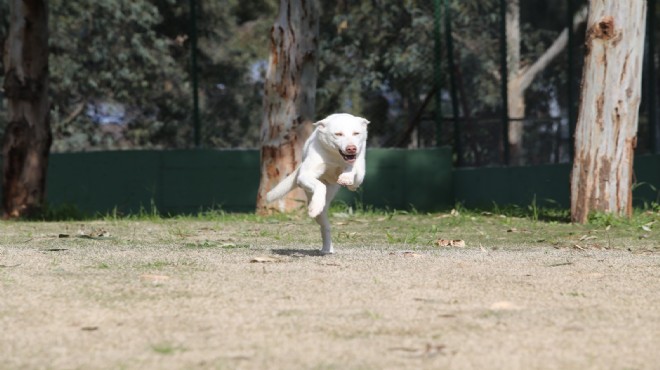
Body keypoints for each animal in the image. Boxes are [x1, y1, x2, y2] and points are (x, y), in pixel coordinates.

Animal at [268, 112, 372, 254]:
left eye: (356, 133)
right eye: (338, 134)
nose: (351, 148)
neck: (336, 157)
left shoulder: (358, 177)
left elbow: (352, 172)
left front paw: (346, 176)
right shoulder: (305, 176)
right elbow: (320, 185)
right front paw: (315, 206)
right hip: (319, 209)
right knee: (325, 227)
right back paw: (327, 248)